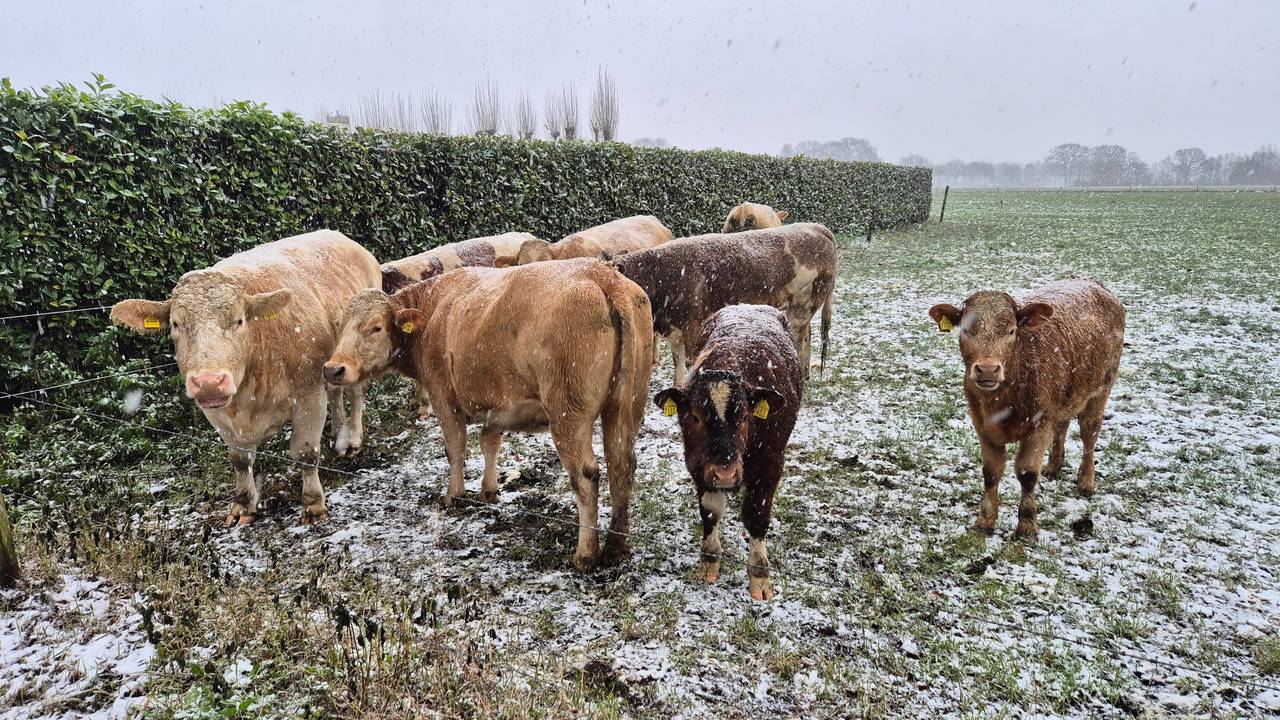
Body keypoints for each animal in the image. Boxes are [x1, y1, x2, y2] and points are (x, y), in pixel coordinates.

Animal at [110, 230, 380, 525]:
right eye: (175, 324)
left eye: (239, 320)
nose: (209, 382)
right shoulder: (217, 412)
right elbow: (239, 459)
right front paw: (243, 506)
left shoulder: (308, 394)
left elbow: (306, 452)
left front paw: (313, 505)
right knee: (335, 392)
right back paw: (337, 434)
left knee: (355, 394)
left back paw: (351, 439)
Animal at [322, 259, 654, 571]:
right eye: (342, 326)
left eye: (376, 327)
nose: (333, 368)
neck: (433, 309)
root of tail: (602, 275)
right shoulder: (498, 404)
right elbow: (489, 443)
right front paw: (490, 490)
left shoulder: (444, 398)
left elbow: (455, 448)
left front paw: (454, 495)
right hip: (627, 404)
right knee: (621, 464)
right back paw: (616, 546)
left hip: (567, 411)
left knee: (585, 474)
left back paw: (585, 554)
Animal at [611, 223, 836, 384]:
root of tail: (816, 227)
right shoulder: (675, 330)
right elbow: (678, 365)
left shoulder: (693, 326)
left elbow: (692, 364)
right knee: (807, 334)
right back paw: (805, 375)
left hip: (806, 302)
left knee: (799, 337)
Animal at [653, 304, 802, 601]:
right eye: (695, 417)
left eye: (745, 417)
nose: (725, 474)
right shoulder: (697, 463)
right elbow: (711, 511)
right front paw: (709, 560)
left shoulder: (771, 462)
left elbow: (757, 515)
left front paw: (759, 575)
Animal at [928, 278, 1126, 539]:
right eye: (967, 330)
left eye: (1012, 330)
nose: (988, 369)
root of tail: (1092, 282)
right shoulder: (982, 425)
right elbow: (991, 472)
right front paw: (984, 521)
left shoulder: (1039, 424)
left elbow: (1027, 473)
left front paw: (1027, 525)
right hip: (1063, 397)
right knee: (1062, 426)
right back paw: (1053, 466)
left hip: (1101, 389)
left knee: (1089, 435)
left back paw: (1086, 481)